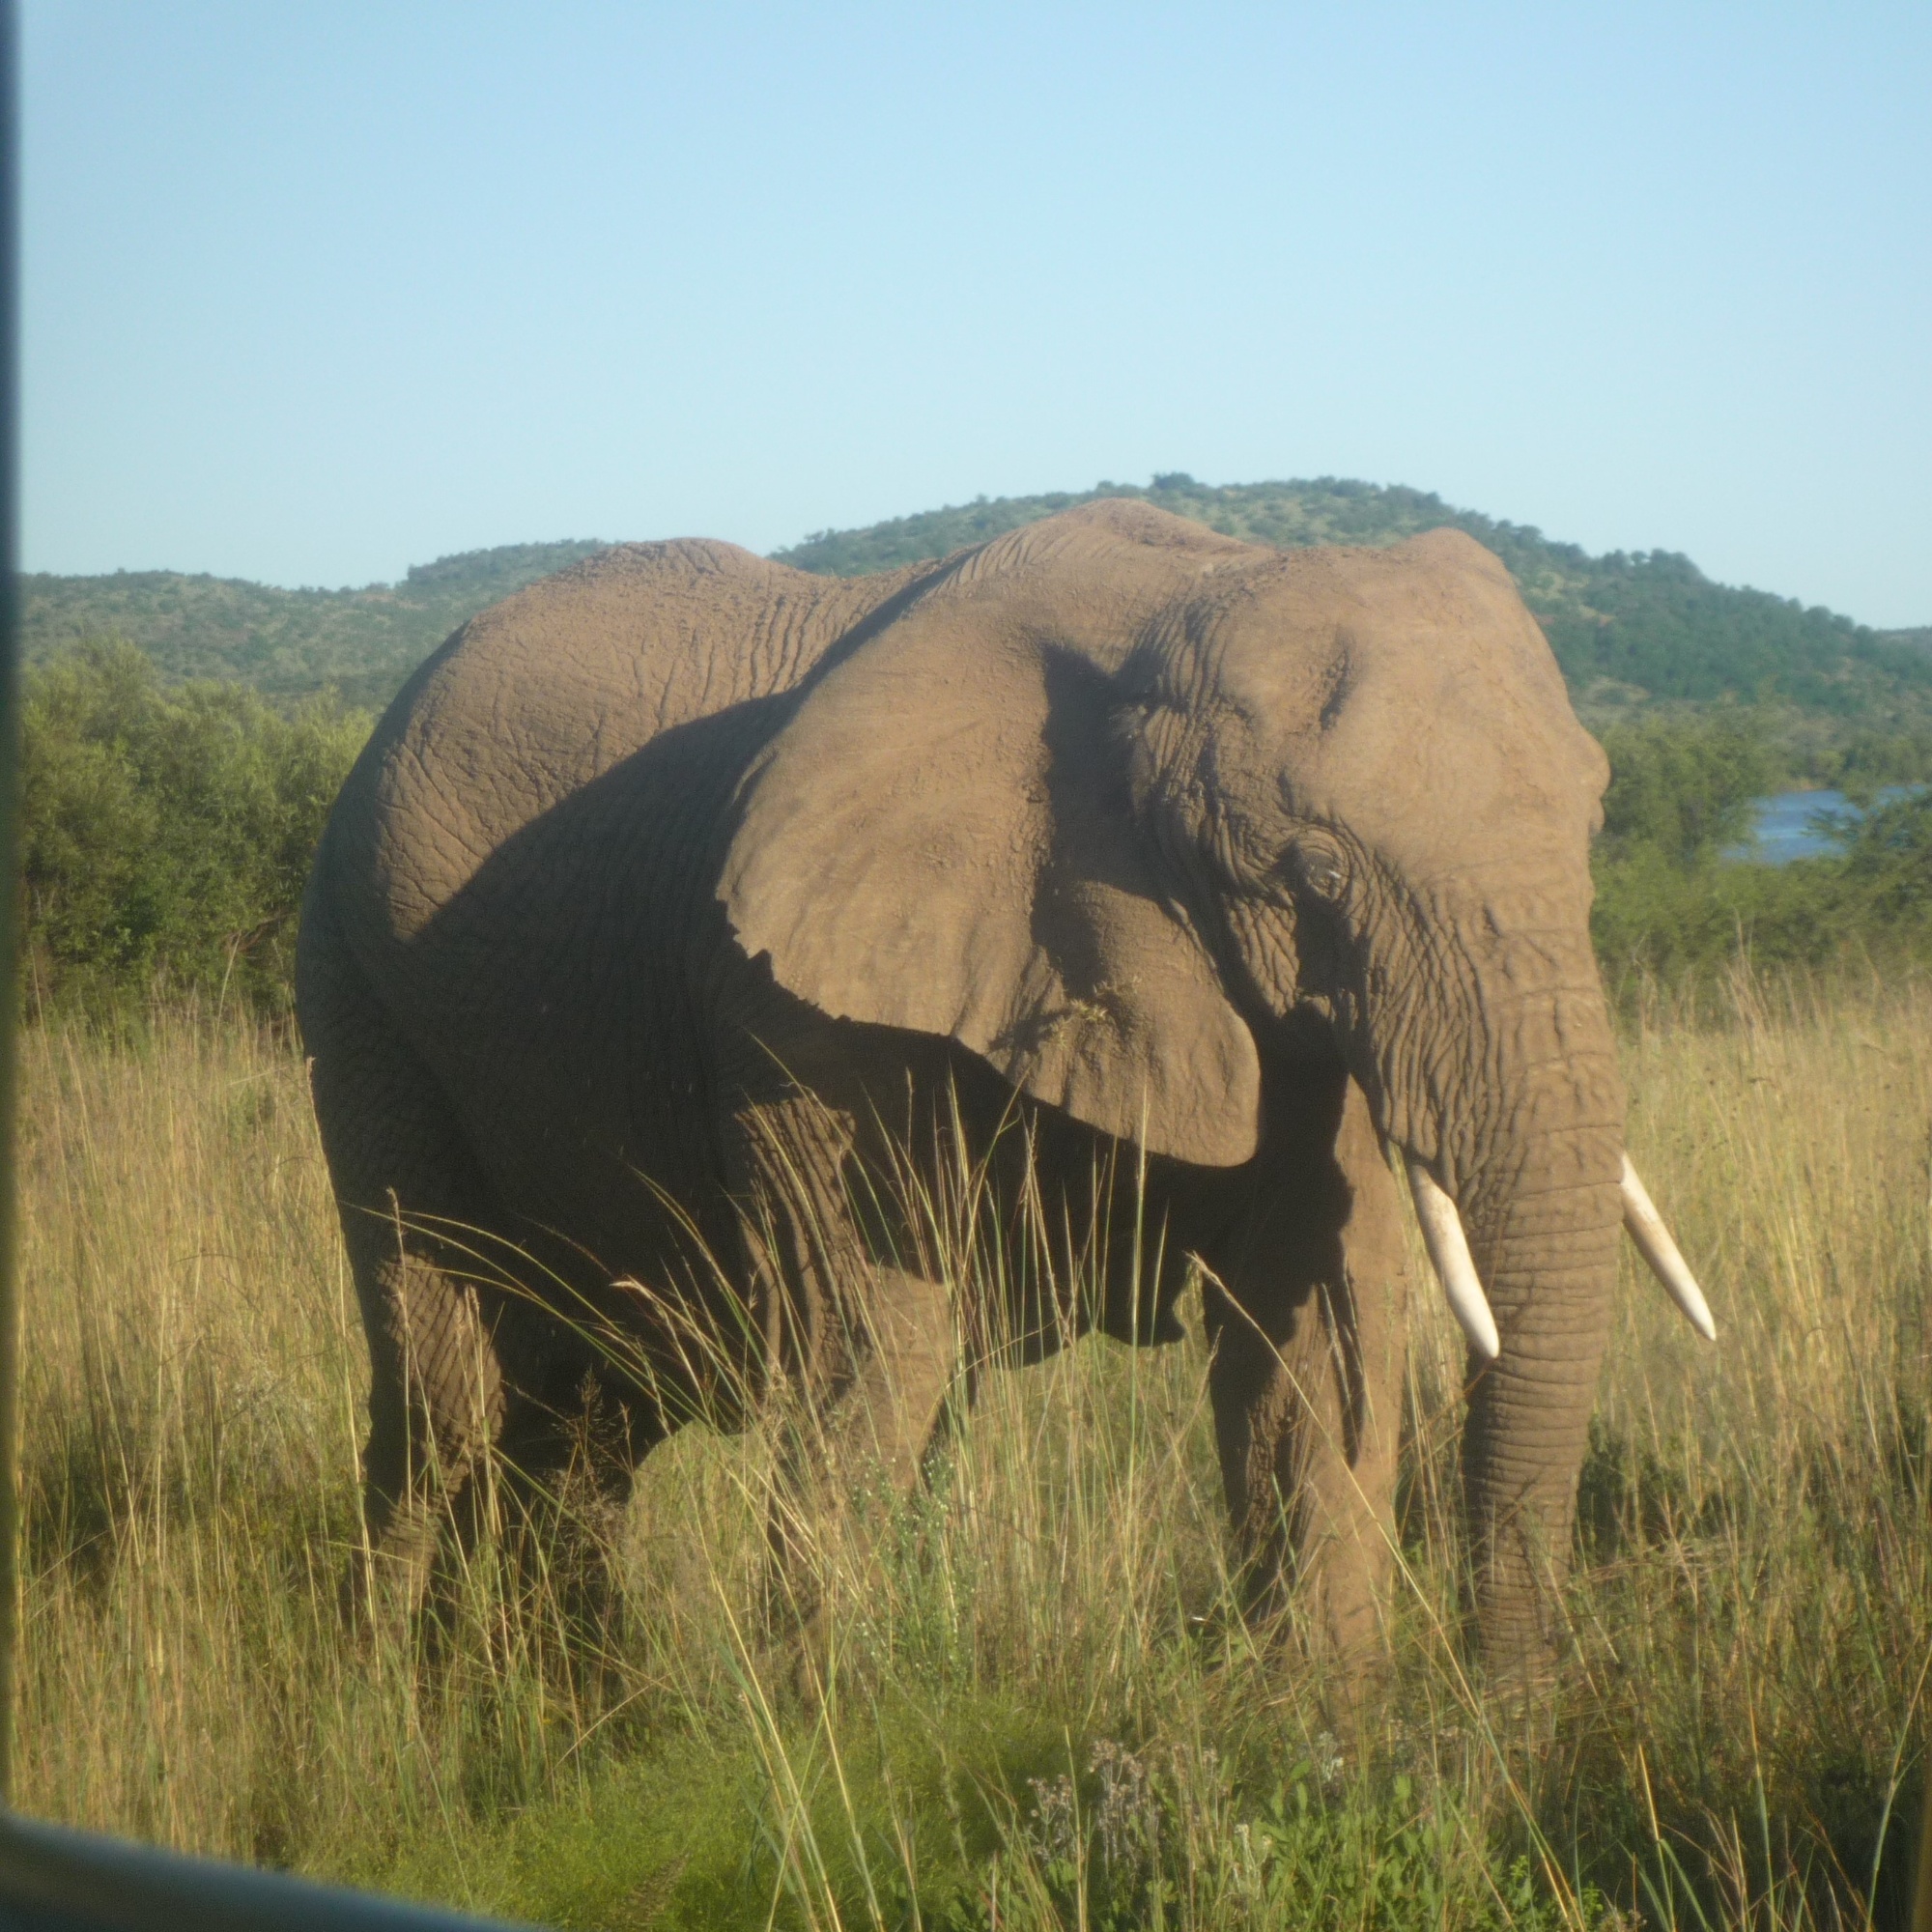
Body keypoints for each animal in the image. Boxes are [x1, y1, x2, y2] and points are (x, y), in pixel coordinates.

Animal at [294, 495, 1716, 1677]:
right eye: (1310, 874)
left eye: (1595, 822)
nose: (1504, 1725)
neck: (1179, 595)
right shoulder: (799, 998)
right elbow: (873, 1355)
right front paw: (824, 1739)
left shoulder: (1288, 1023)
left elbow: (1305, 1342)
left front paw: (1335, 1741)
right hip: (356, 988)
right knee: (443, 1389)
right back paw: (398, 1713)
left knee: (589, 1413)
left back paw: (565, 1707)